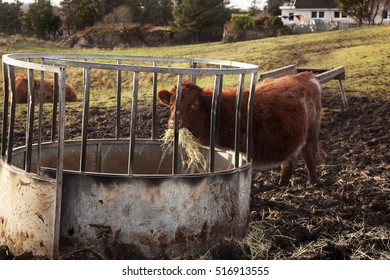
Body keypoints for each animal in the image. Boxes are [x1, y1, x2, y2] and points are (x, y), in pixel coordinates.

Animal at [157, 72, 322, 186]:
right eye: (171, 104)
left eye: (194, 105)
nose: (172, 123)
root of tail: (305, 75)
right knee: (289, 160)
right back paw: (282, 184)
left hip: (312, 133)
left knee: (309, 156)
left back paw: (313, 182)